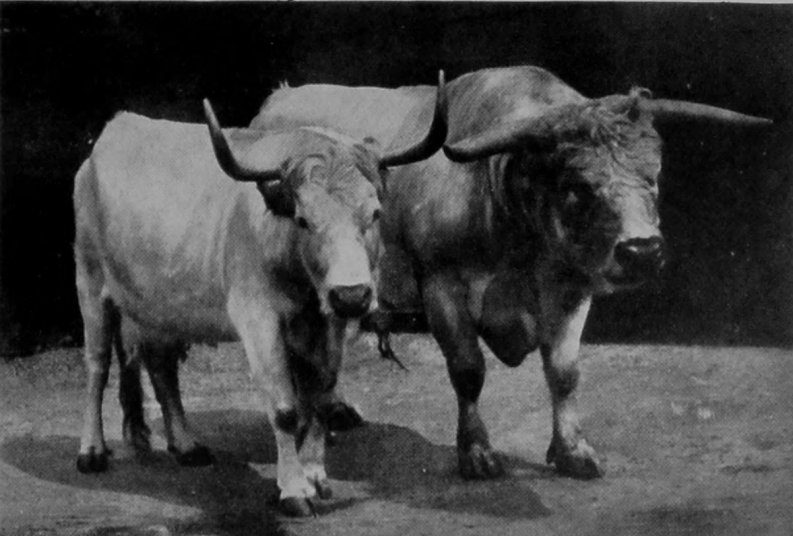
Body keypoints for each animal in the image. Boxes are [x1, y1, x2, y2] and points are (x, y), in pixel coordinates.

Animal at [72, 83, 445, 516]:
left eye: (374, 213)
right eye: (303, 219)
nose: (352, 294)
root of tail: (117, 129)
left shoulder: (330, 323)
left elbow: (319, 397)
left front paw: (314, 474)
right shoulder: (258, 319)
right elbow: (285, 409)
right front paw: (293, 490)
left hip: (160, 305)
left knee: (161, 365)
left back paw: (186, 444)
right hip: (90, 283)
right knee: (97, 366)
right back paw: (91, 451)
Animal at [251, 65, 772, 481]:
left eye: (654, 177)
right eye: (577, 186)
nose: (642, 249)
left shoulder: (570, 289)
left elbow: (564, 372)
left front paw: (573, 450)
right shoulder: (442, 287)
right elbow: (468, 371)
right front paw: (477, 452)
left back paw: (335, 408)